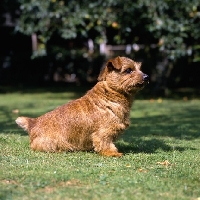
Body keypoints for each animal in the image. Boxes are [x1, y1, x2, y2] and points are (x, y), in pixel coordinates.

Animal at [15, 55, 148, 156]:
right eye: (128, 70)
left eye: (139, 68)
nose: (146, 76)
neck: (110, 94)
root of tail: (33, 123)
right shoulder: (103, 132)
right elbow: (105, 143)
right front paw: (112, 153)